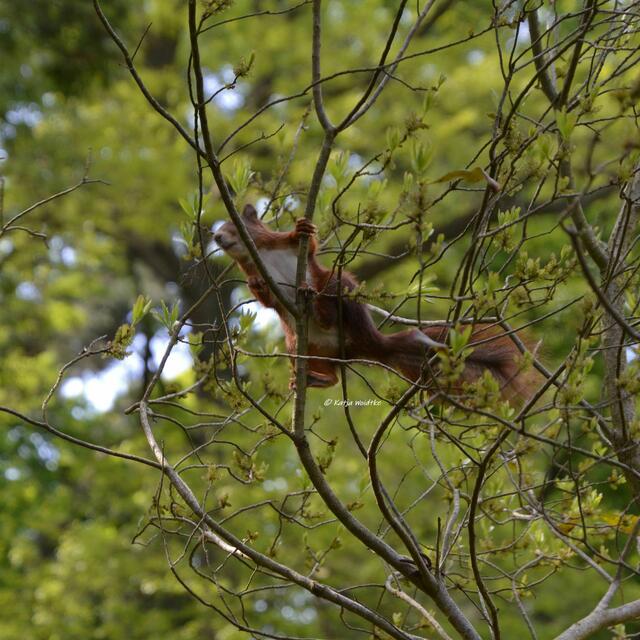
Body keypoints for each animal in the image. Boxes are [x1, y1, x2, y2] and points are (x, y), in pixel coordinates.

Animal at [214, 204, 533, 398]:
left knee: (334, 292)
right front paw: (256, 286)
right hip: (300, 348)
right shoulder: (252, 269)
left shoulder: (283, 244)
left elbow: (307, 245)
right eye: (218, 229)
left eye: (233, 224)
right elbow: (268, 301)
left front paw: (301, 228)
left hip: (340, 286)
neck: (258, 254)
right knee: (332, 376)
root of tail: (367, 343)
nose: (216, 237)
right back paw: (315, 378)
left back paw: (319, 309)